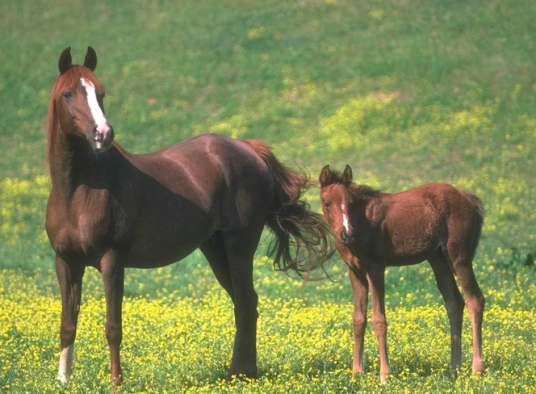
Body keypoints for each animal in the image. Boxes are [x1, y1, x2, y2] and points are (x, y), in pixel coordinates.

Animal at [46, 47, 332, 386]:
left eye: (100, 93)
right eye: (68, 93)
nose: (103, 134)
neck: (79, 191)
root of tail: (248, 149)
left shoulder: (111, 261)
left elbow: (113, 327)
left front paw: (116, 383)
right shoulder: (66, 262)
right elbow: (67, 324)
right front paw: (63, 381)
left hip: (239, 246)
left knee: (245, 303)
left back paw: (240, 374)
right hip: (215, 249)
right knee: (245, 303)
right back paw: (243, 372)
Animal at [318, 164, 486, 382]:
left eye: (351, 202)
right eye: (327, 202)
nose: (347, 234)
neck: (362, 223)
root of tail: (468, 198)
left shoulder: (376, 268)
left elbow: (379, 320)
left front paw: (385, 376)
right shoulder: (355, 272)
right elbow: (358, 320)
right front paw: (356, 373)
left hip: (459, 257)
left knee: (475, 300)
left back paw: (477, 369)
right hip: (438, 259)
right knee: (455, 302)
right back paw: (453, 369)